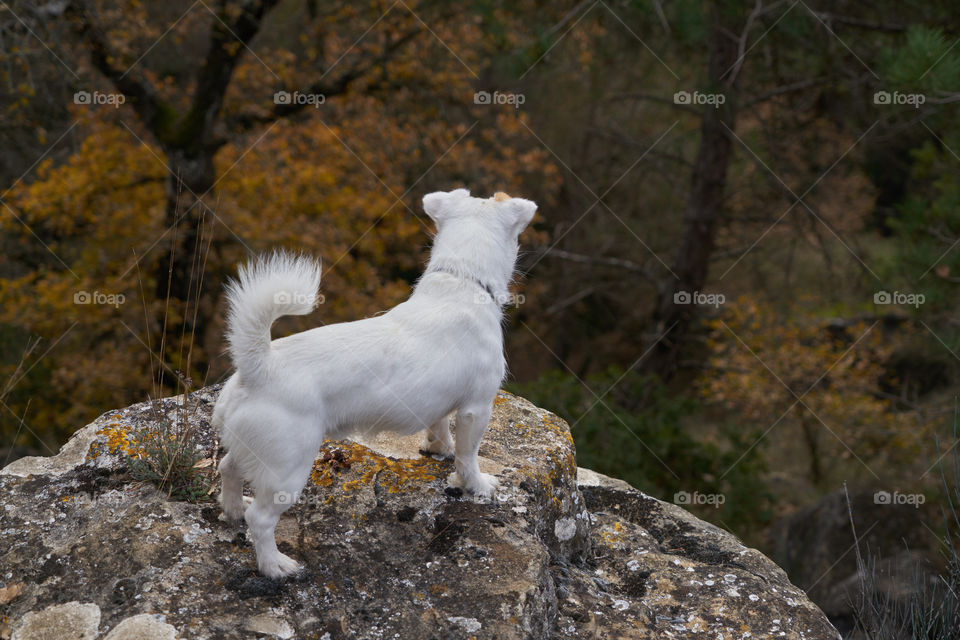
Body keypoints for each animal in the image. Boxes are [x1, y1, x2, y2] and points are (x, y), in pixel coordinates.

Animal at [211, 188, 536, 576]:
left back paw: (232, 510)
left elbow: (440, 426)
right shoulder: (477, 408)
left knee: (228, 469)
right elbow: (468, 455)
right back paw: (275, 565)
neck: (459, 282)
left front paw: (438, 448)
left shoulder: (441, 403)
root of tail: (258, 365)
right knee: (260, 519)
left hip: (252, 451)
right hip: (286, 471)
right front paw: (477, 485)